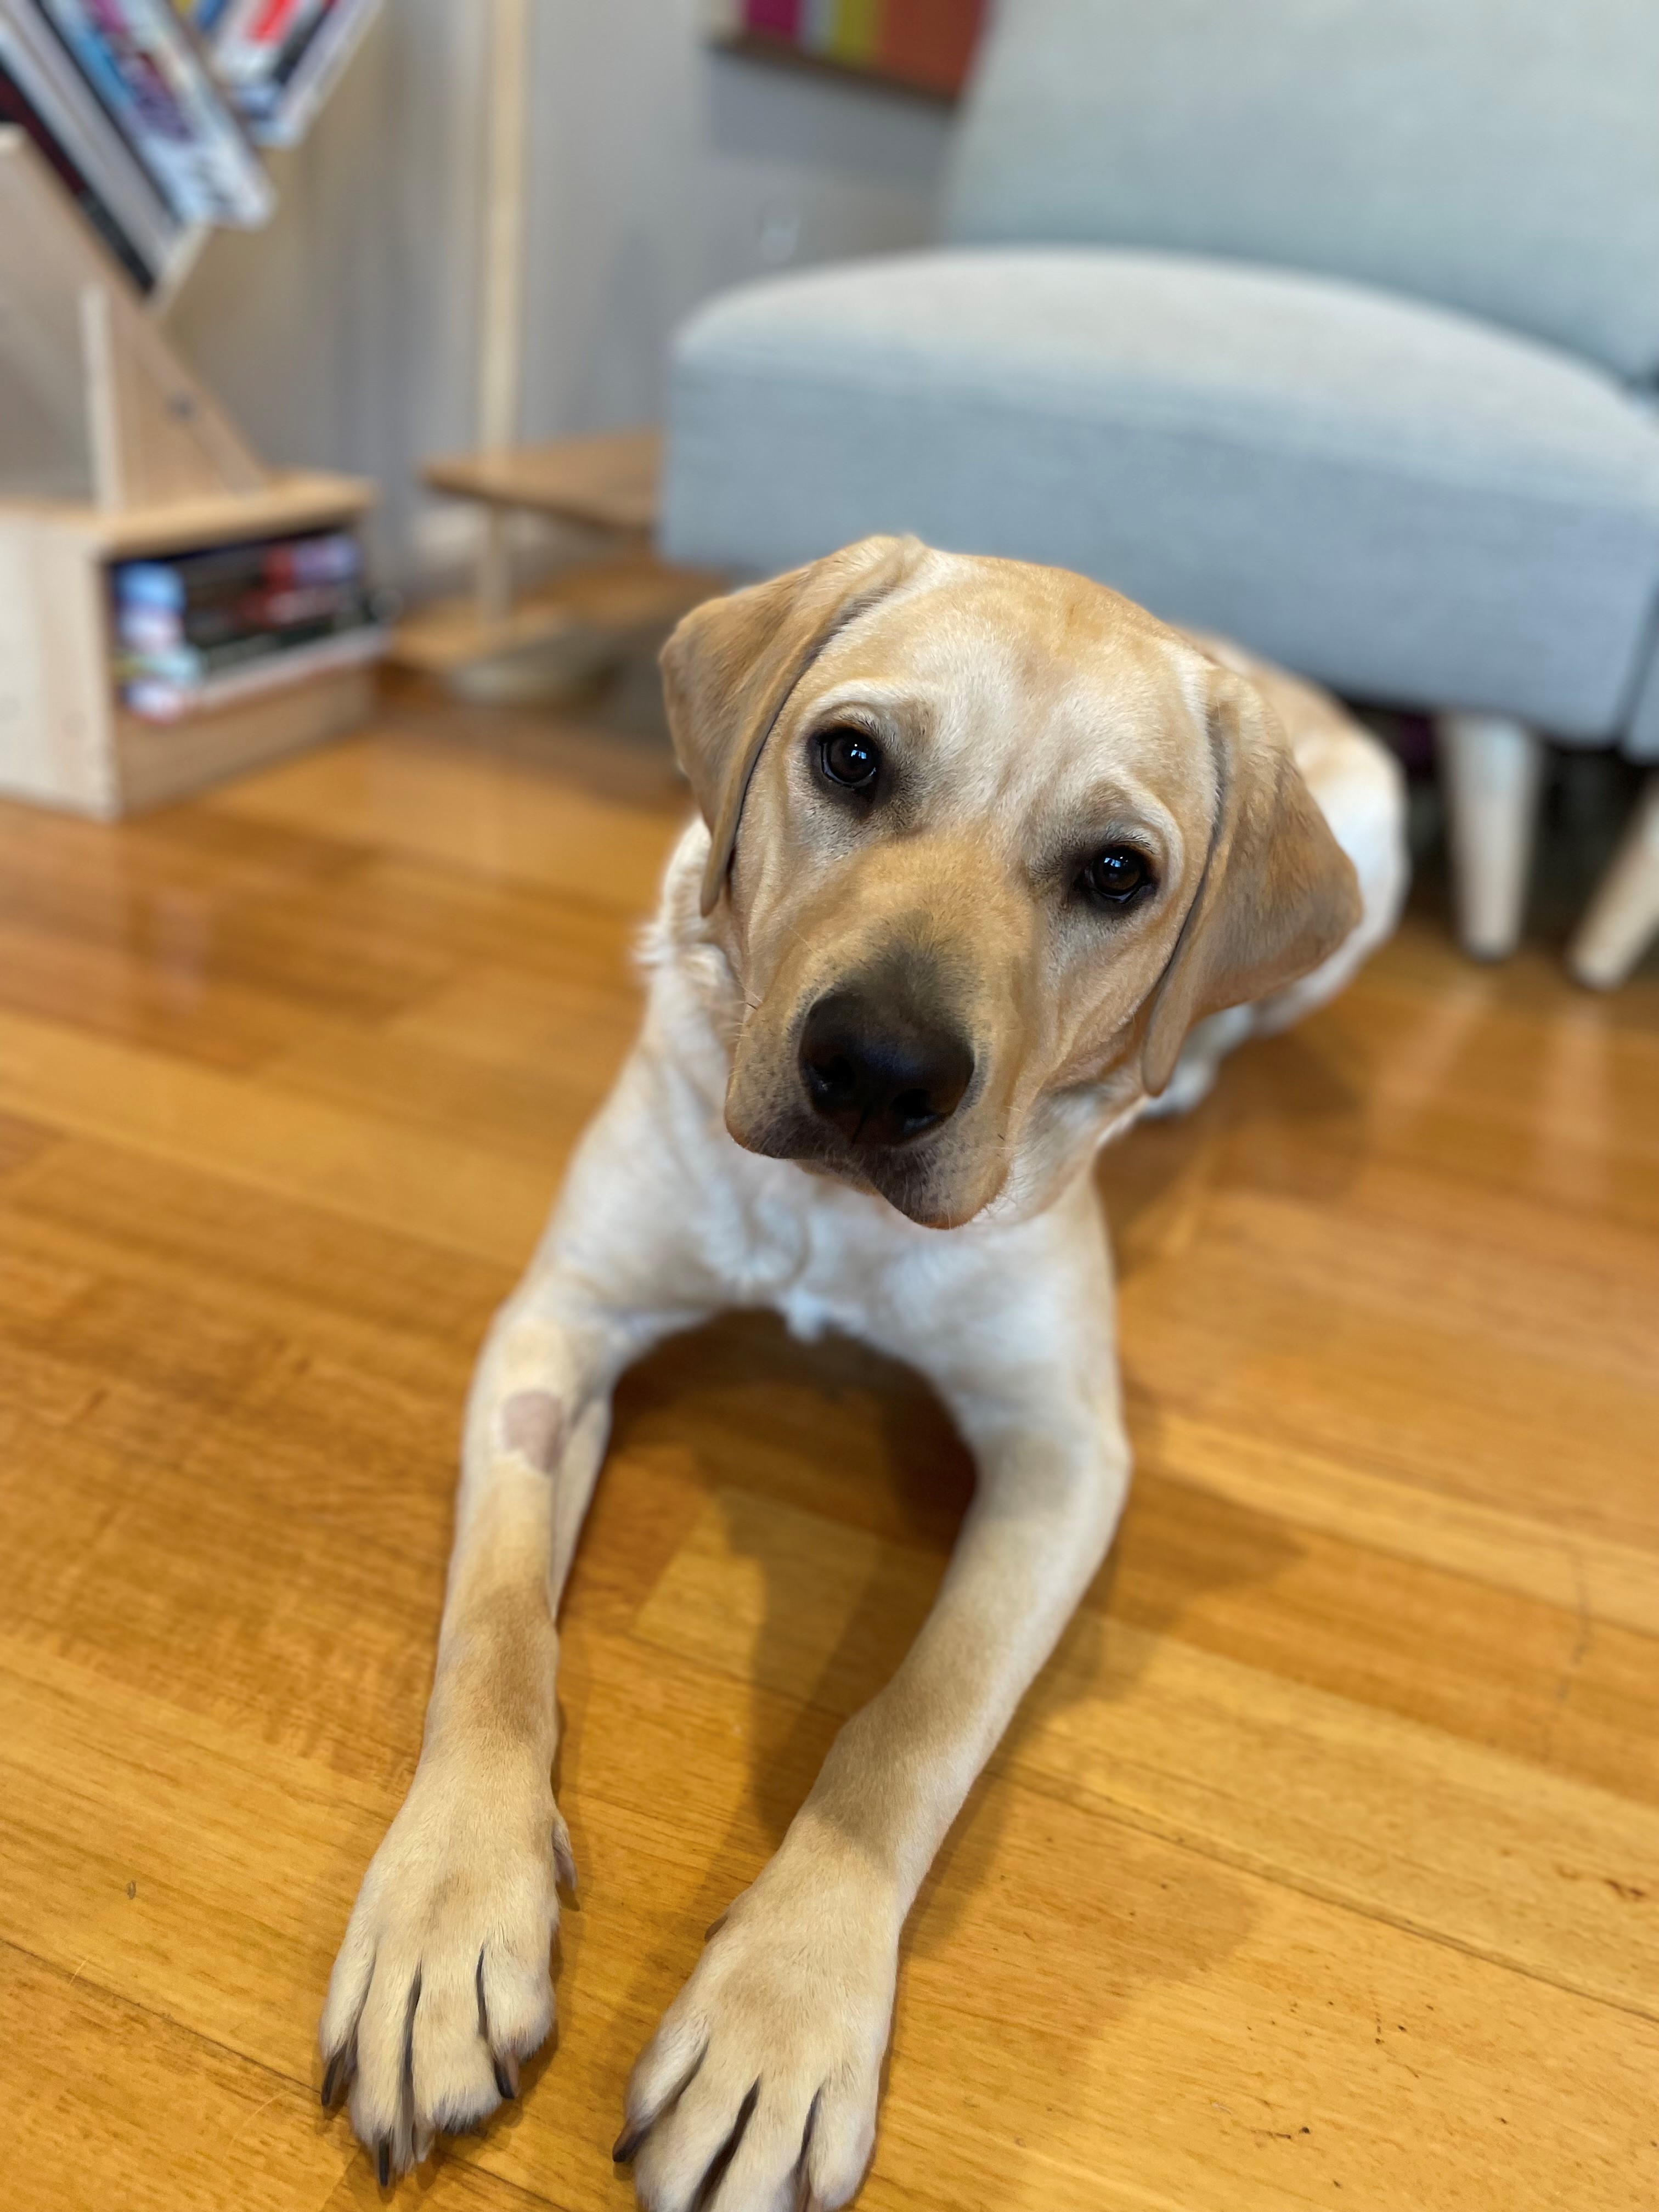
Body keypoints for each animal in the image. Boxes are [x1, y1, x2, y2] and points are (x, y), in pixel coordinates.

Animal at [318, 539, 1407, 2212]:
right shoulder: (557, 1323)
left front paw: (782, 2016)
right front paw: (445, 1915)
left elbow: (912, 1725)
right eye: (849, 760)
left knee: (1222, 1027)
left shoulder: (1066, 1452)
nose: (880, 1072)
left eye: (1117, 874)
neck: (831, 1221)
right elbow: (493, 1641)